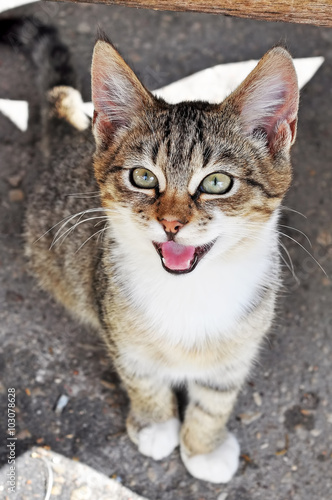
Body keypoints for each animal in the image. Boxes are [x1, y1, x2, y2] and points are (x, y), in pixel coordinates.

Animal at [0, 19, 298, 484]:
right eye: (143, 177)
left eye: (217, 183)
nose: (171, 223)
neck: (190, 291)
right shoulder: (114, 321)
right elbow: (140, 375)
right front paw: (156, 423)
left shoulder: (243, 341)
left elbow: (218, 395)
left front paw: (202, 445)